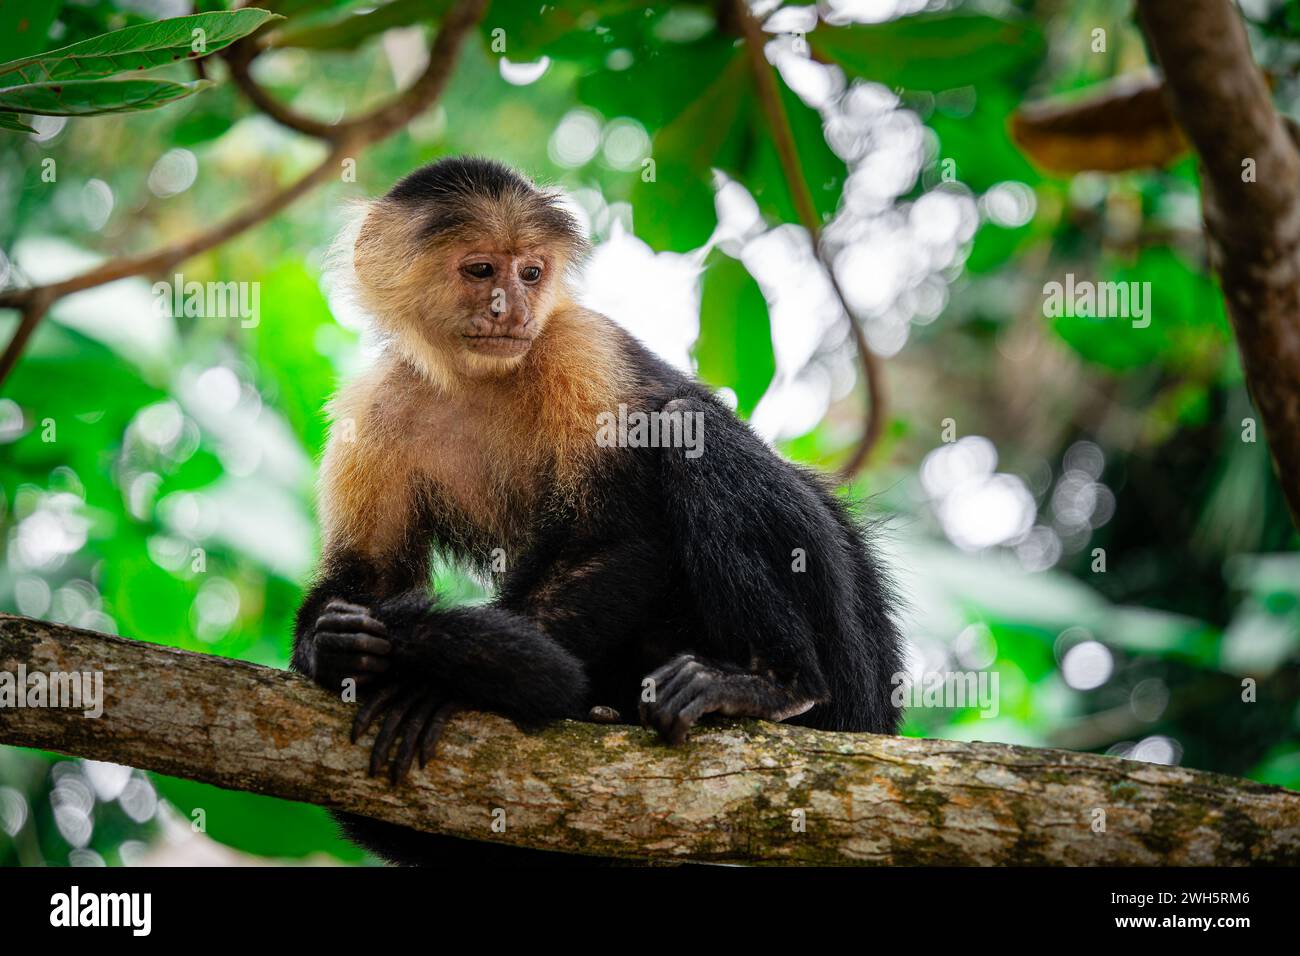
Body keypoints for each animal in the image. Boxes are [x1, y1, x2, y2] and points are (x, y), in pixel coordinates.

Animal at [291, 156, 904, 865]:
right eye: (481, 270)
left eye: (531, 273)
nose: (514, 307)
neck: (477, 379)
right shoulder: (372, 410)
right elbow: (372, 577)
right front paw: (333, 646)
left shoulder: (581, 349)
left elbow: (619, 538)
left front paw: (436, 682)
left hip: (847, 657)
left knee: (689, 429)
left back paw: (776, 686)